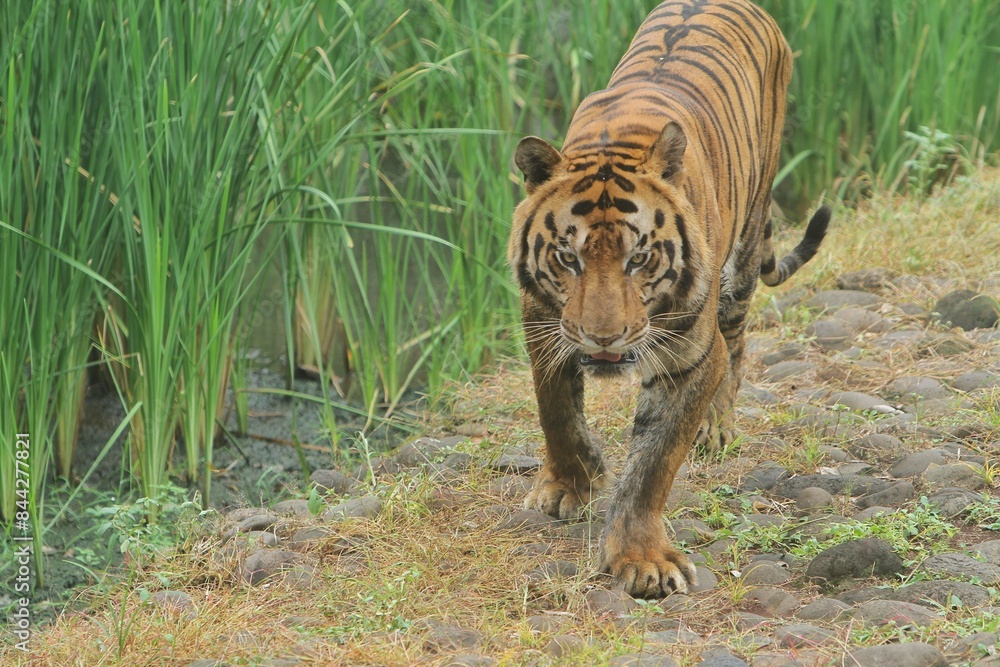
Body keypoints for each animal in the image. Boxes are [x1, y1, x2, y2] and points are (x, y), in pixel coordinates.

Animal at [507, 0, 829, 598]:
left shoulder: (691, 356)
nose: (603, 339)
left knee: (738, 342)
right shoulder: (542, 323)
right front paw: (571, 484)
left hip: (743, 256)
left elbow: (653, 463)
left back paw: (717, 427)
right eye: (568, 259)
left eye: (639, 259)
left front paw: (643, 559)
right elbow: (556, 409)